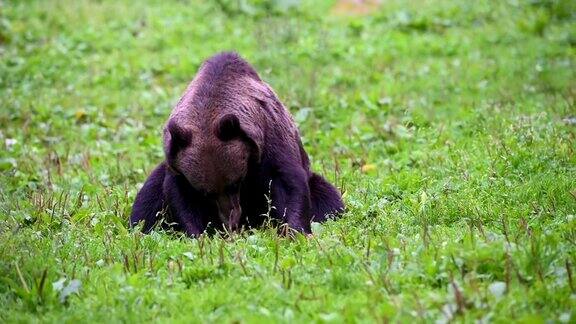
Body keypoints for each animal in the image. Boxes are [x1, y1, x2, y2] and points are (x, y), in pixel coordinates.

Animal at [130, 52, 342, 235]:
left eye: (236, 183)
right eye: (206, 193)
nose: (231, 221)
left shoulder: (271, 137)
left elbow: (288, 184)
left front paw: (295, 230)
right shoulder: (177, 164)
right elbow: (178, 198)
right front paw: (198, 234)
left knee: (328, 197)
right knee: (146, 202)